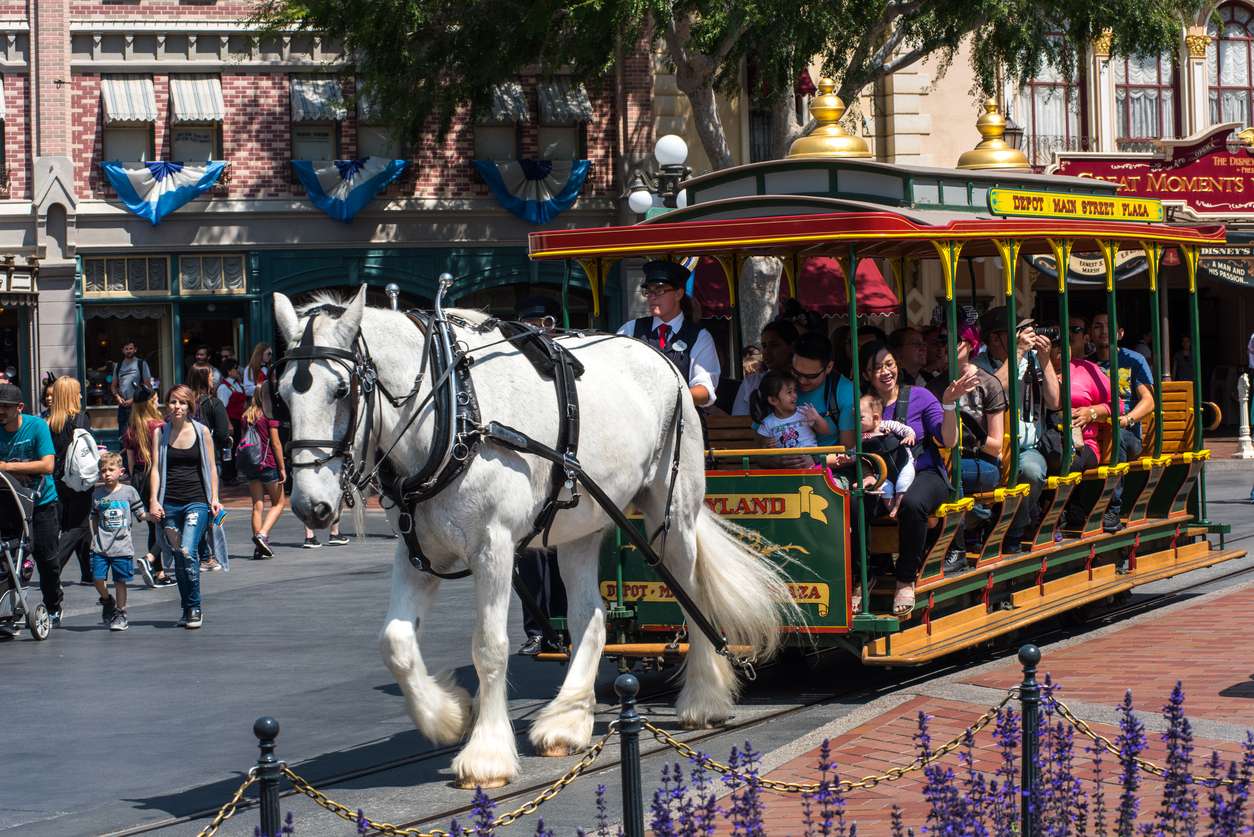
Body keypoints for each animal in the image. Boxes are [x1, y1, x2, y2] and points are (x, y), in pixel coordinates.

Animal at [277, 286, 792, 788]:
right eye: (281, 394)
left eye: (341, 390)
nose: (309, 505)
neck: (455, 413)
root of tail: (660, 356)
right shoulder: (417, 550)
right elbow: (395, 643)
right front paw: (447, 716)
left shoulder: (494, 547)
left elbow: (488, 647)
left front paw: (486, 755)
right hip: (582, 522)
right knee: (591, 615)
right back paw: (566, 721)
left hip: (674, 511)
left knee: (690, 594)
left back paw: (703, 702)